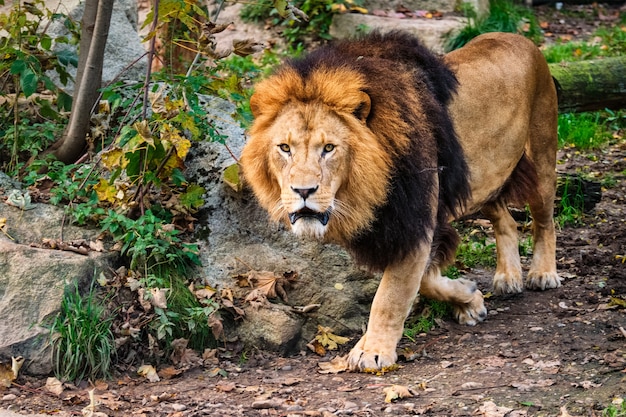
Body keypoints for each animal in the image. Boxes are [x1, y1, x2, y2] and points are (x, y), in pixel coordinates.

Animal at [239, 31, 560, 370]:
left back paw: (543, 273)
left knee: (545, 220)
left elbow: (391, 295)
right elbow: (425, 280)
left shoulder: (415, 221)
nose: (303, 191)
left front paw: (372, 350)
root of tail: (521, 38)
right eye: (284, 148)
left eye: (328, 148)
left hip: (541, 156)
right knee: (505, 221)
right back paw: (508, 277)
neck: (369, 188)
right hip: (484, 178)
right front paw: (469, 298)